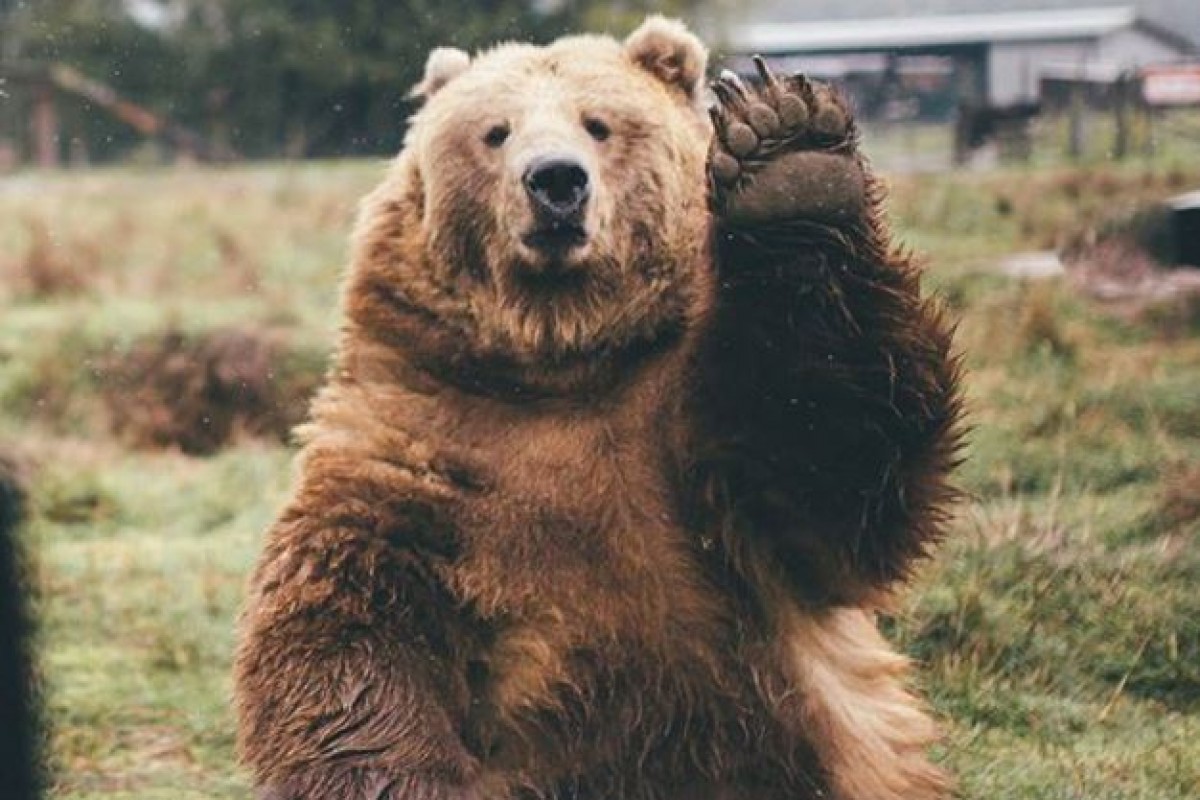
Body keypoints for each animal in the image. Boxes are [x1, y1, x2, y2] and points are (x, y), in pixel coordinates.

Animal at [234, 14, 964, 800]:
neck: (564, 359)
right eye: (496, 131)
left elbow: (828, 463)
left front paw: (790, 161)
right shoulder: (422, 432)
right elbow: (349, 619)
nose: (556, 179)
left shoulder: (705, 455)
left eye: (599, 123)